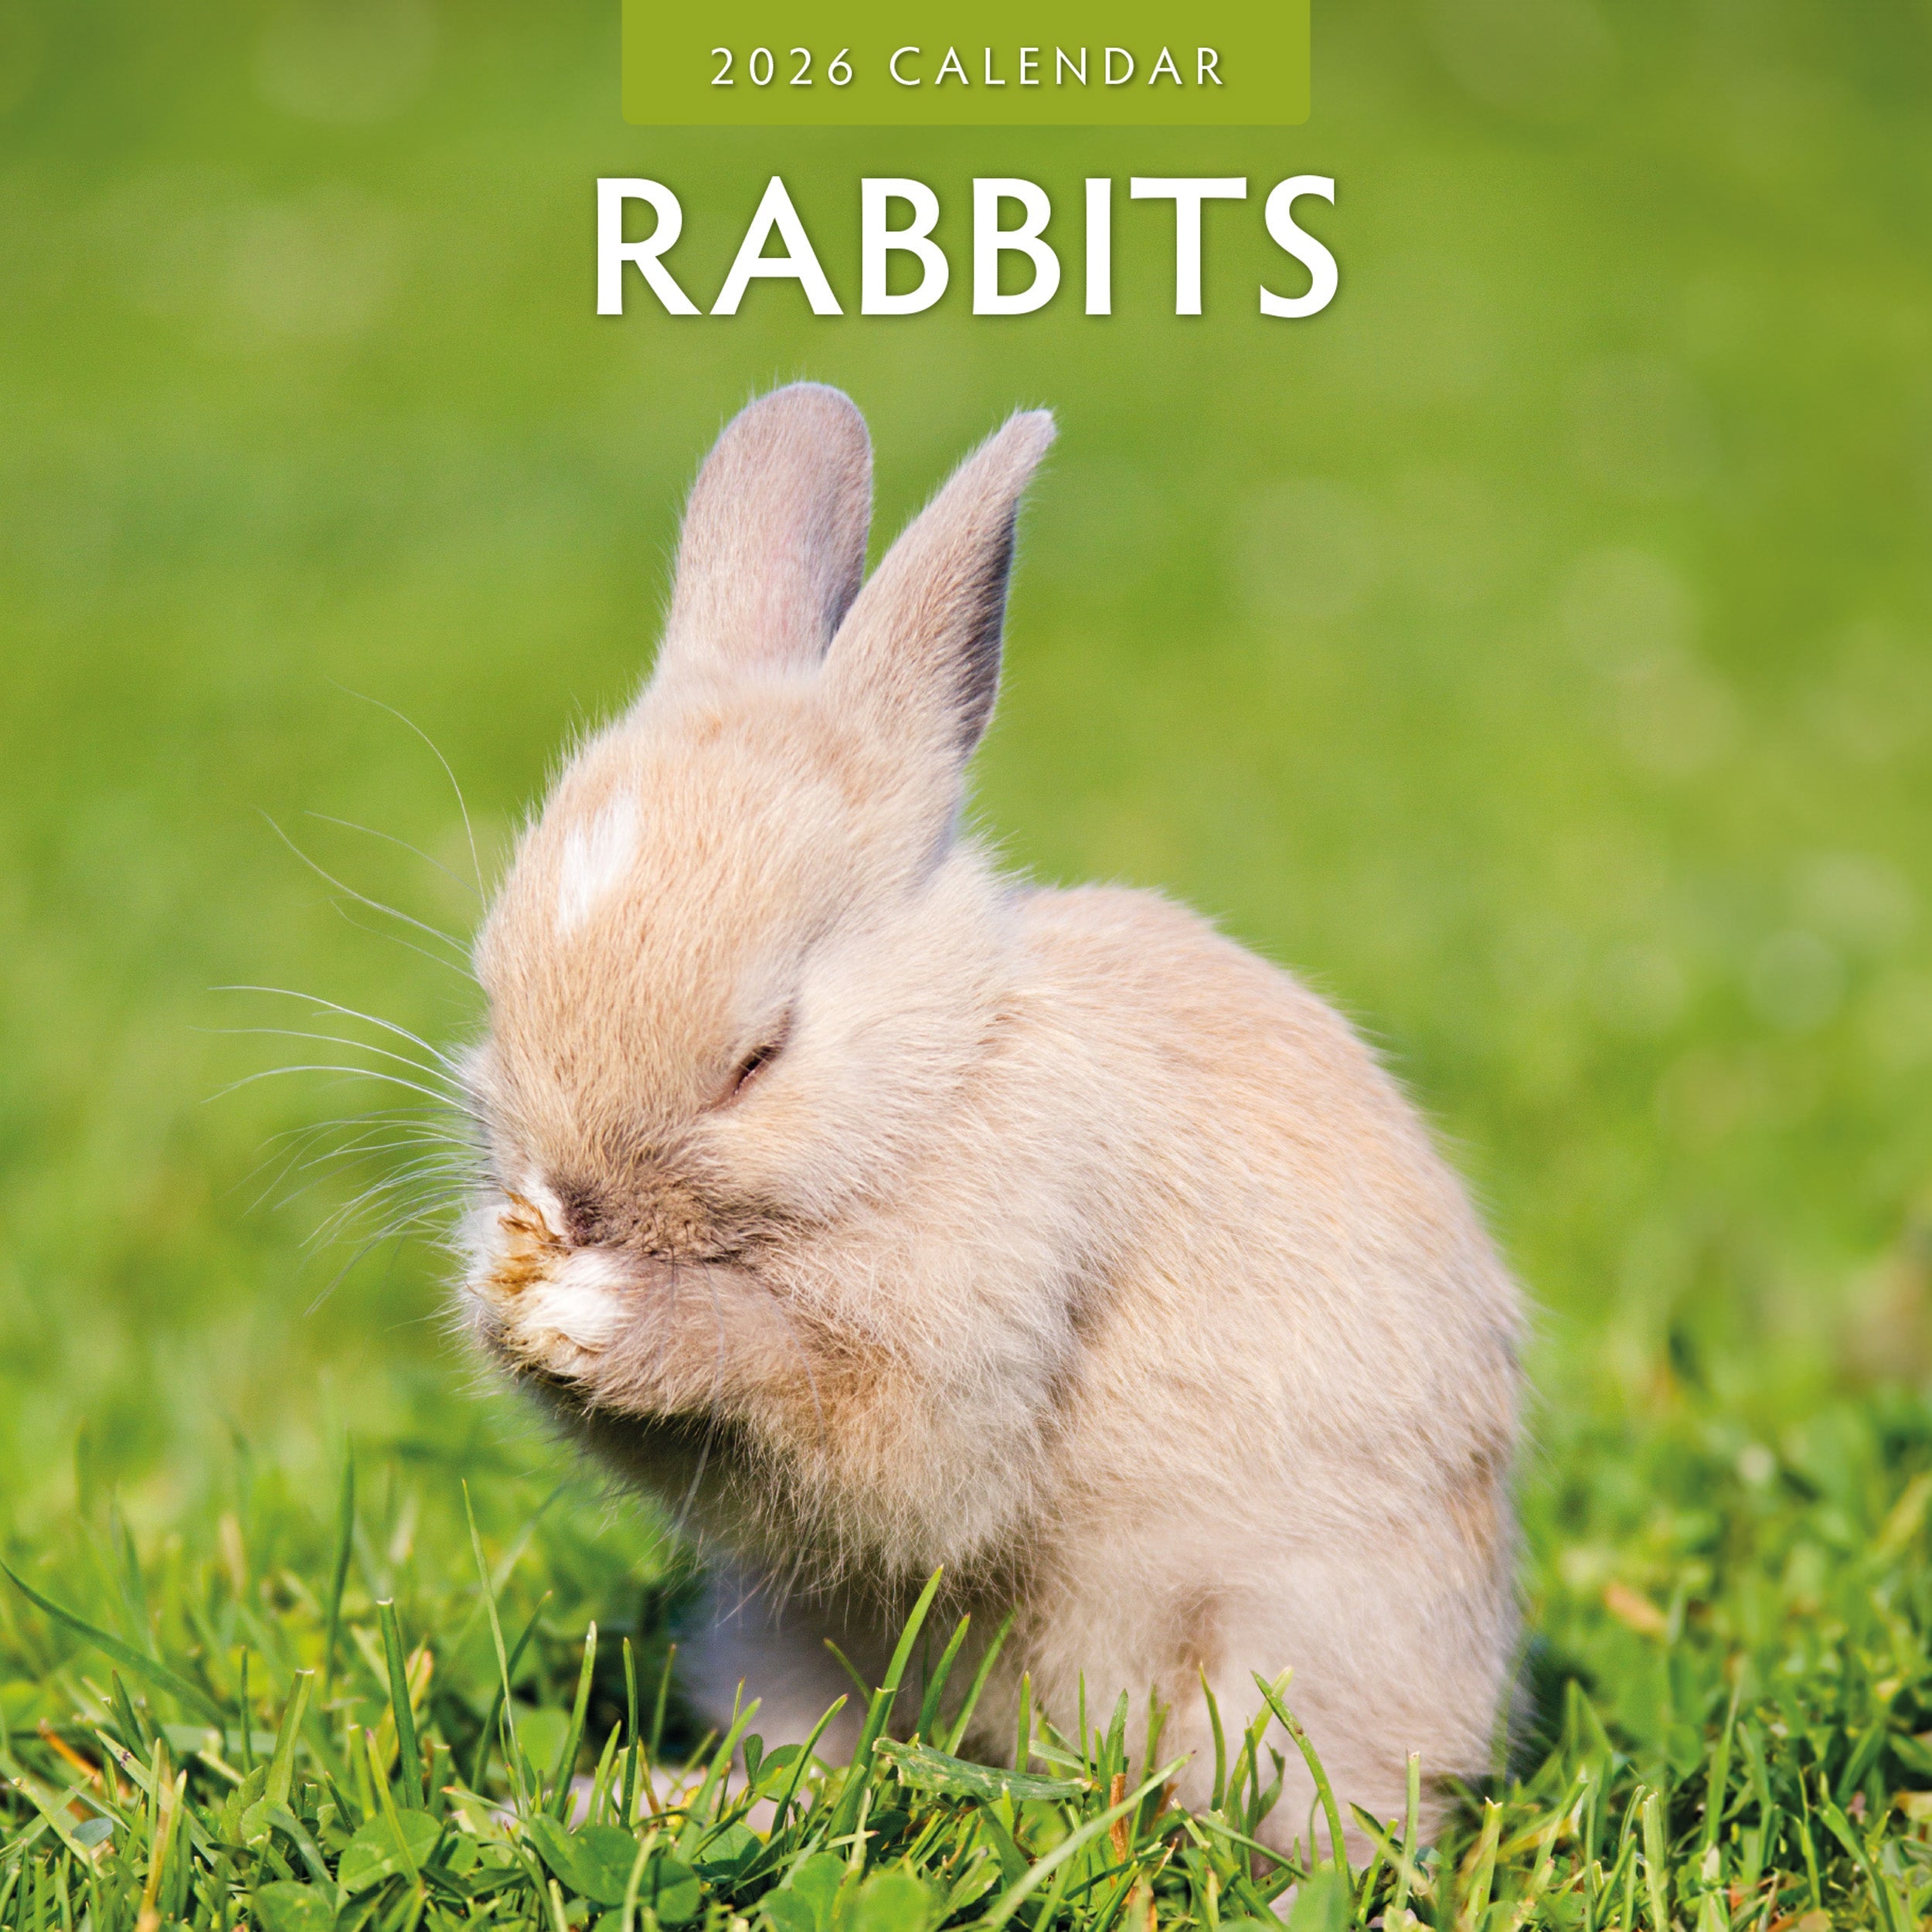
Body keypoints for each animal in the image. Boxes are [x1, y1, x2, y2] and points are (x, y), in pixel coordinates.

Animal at [457, 381, 1523, 1853]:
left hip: (1298, 1655)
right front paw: (504, 1293)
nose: (572, 1202)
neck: (943, 1072)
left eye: (760, 1055)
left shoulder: (990, 1312)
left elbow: (879, 1439)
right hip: (785, 1639)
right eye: (490, 985)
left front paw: (605, 1313)